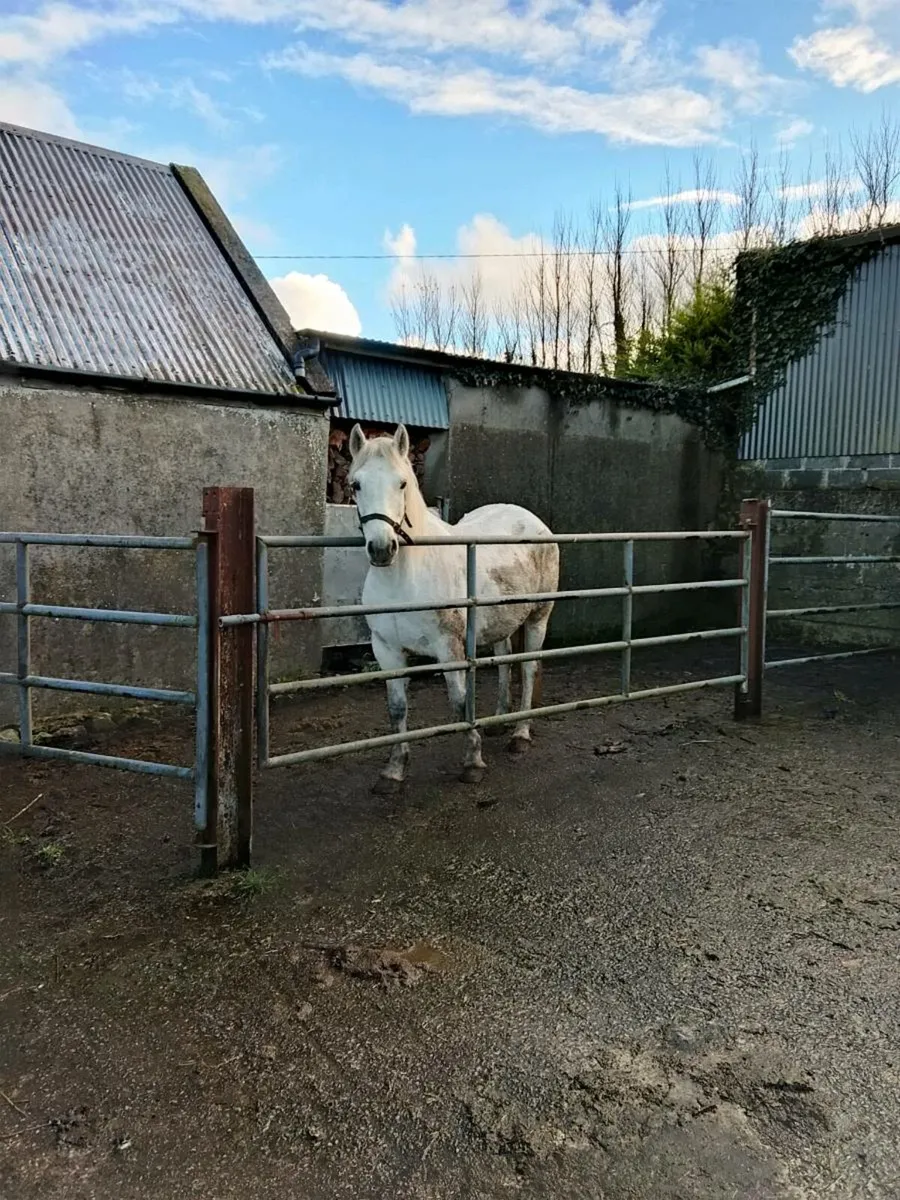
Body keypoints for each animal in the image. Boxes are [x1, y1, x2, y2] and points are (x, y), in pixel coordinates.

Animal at [347, 422, 560, 794]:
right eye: (356, 484)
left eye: (402, 483)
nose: (382, 549)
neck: (405, 577)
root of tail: (535, 523)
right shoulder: (386, 649)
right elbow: (396, 708)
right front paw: (394, 771)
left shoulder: (448, 648)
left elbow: (459, 702)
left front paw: (473, 762)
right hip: (500, 625)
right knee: (505, 664)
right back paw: (499, 720)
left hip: (538, 617)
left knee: (529, 668)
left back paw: (520, 735)